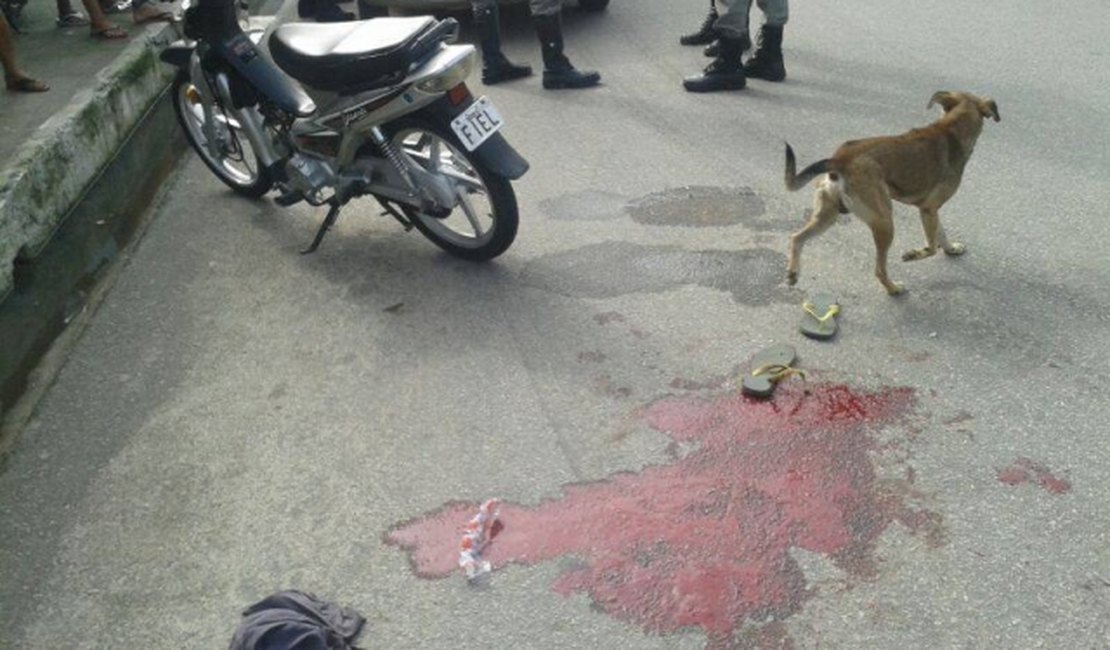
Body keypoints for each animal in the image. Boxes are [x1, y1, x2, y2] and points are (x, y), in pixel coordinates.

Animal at [785, 90, 1003, 292]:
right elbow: (932, 247)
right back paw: (894, 289)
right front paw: (914, 254)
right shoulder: (928, 208)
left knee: (796, 238)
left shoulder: (931, 210)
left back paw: (793, 273)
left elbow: (941, 234)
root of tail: (840, 160)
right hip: (884, 222)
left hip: (828, 216)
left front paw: (950, 249)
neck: (950, 128)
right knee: (879, 270)